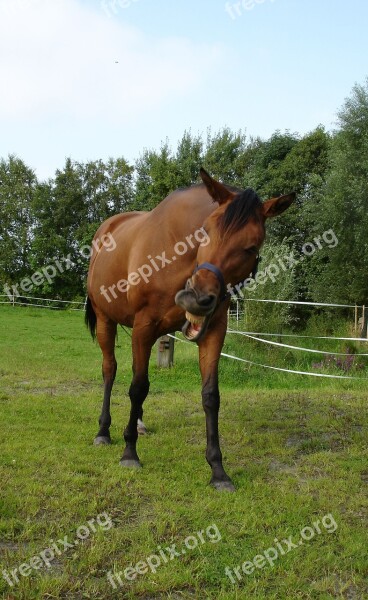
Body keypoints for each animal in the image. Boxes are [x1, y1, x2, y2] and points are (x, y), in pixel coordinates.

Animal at [85, 169, 294, 492]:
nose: (195, 298)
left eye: (252, 247)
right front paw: (129, 453)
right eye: (204, 231)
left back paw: (139, 424)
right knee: (110, 370)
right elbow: (138, 387)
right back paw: (104, 431)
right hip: (106, 320)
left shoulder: (213, 331)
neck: (174, 255)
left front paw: (218, 470)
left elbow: (210, 396)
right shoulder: (143, 326)